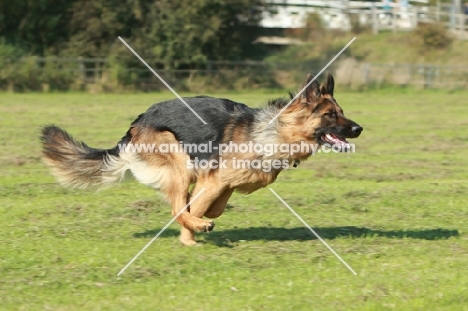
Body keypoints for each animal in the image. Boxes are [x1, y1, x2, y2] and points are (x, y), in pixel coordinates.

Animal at [41, 73, 362, 246]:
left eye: (342, 112)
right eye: (330, 115)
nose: (359, 129)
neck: (274, 132)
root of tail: (133, 127)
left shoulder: (222, 183)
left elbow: (212, 207)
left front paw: (195, 227)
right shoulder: (214, 180)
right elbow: (197, 207)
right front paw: (190, 235)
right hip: (177, 159)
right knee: (176, 207)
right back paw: (195, 228)